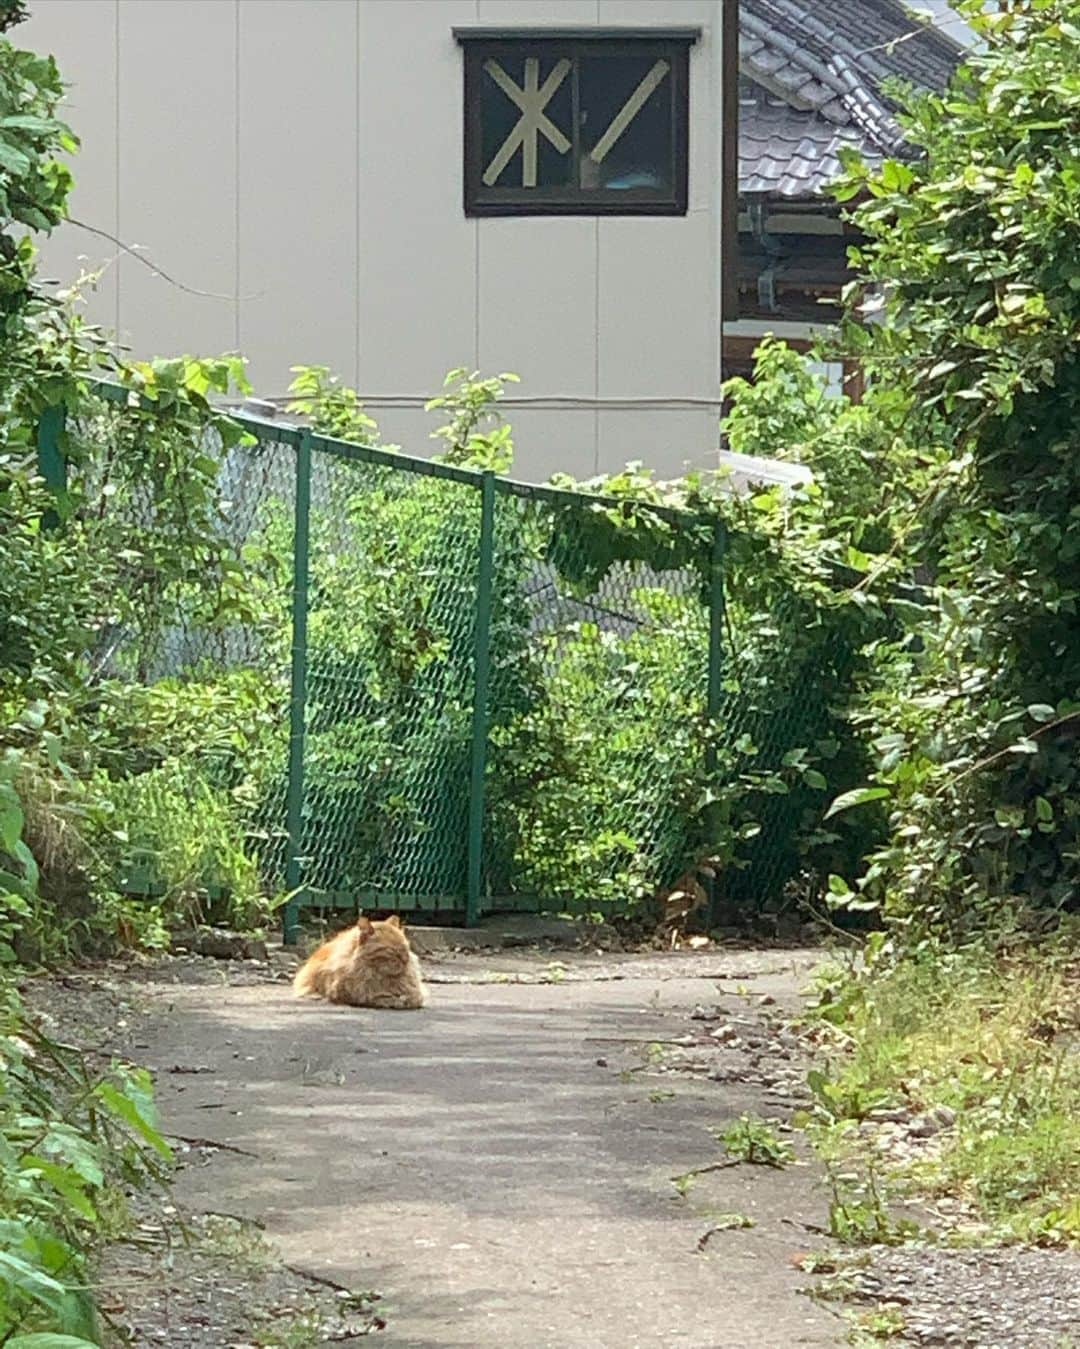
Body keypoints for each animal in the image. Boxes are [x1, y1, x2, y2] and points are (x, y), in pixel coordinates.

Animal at [295, 911, 428, 1009]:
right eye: (391, 950)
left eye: (406, 948)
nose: (406, 960)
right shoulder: (347, 993)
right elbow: (377, 997)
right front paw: (394, 1000)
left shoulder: (416, 992)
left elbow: (415, 997)